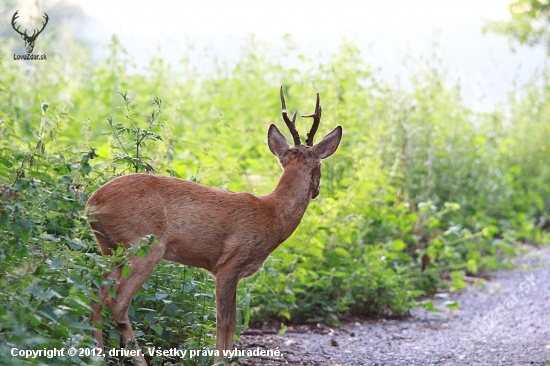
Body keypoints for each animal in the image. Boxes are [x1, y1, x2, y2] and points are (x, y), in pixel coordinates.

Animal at [85, 87, 342, 364]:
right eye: (319, 166)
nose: (316, 191)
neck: (272, 215)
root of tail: (93, 202)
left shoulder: (236, 272)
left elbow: (233, 321)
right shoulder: (229, 263)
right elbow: (224, 321)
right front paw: (220, 360)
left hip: (110, 248)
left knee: (95, 296)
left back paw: (97, 355)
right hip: (143, 245)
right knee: (118, 301)